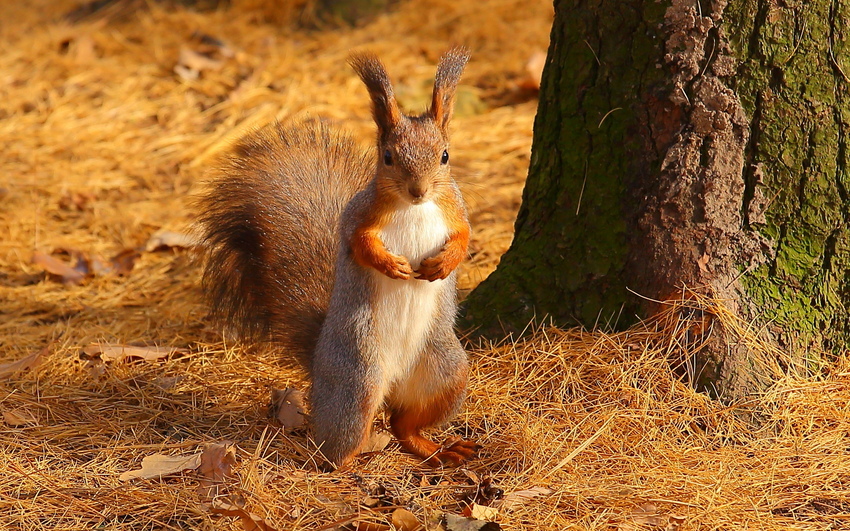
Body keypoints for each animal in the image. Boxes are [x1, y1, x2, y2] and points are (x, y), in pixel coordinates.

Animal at [197, 47, 476, 468]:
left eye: (445, 156)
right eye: (388, 156)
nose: (419, 190)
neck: (415, 207)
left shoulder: (455, 210)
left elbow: (464, 237)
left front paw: (443, 263)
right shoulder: (357, 216)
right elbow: (358, 243)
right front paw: (391, 264)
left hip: (445, 373)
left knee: (403, 424)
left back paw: (434, 447)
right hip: (357, 379)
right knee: (337, 441)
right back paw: (347, 464)